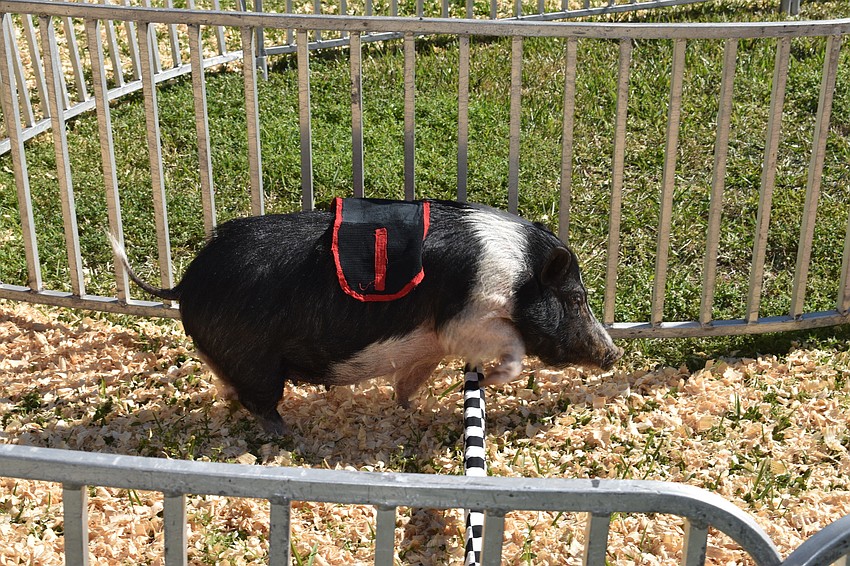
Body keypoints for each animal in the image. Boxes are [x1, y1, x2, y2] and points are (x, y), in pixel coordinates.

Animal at [112, 199, 622, 435]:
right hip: (254, 358)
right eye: (576, 298)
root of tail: (184, 285)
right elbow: (512, 350)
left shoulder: (429, 347)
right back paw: (289, 438)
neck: (518, 275)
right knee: (260, 402)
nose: (613, 354)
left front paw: (414, 411)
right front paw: (493, 380)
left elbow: (409, 384)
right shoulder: (469, 318)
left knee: (233, 393)